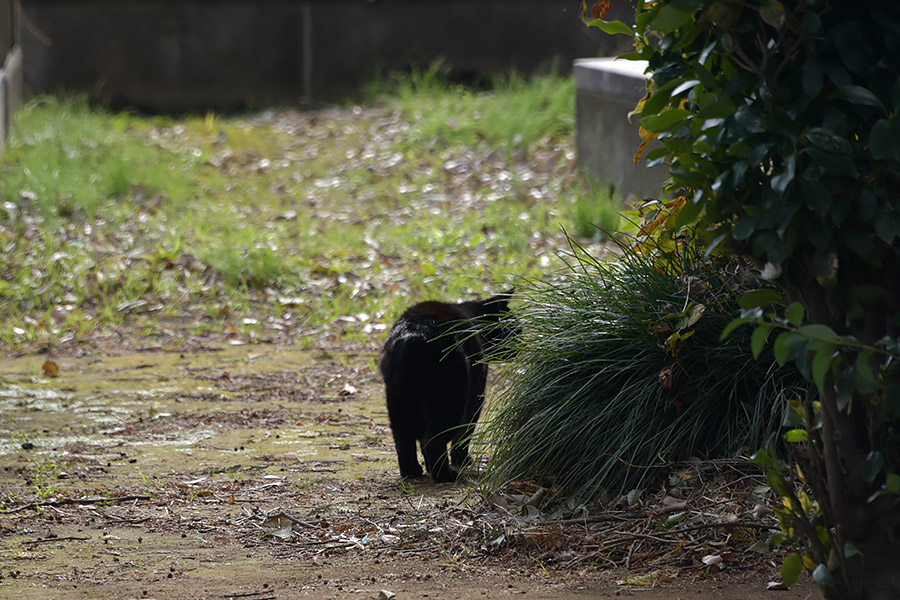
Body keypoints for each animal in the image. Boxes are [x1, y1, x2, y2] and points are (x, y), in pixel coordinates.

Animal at [380, 290, 516, 482]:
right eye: (515, 329)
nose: (522, 342)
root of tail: (413, 334)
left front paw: (429, 467)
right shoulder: (475, 397)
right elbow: (465, 434)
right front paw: (462, 460)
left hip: (399, 402)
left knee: (404, 440)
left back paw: (412, 472)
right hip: (449, 402)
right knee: (433, 440)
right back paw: (445, 475)